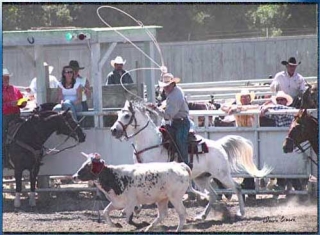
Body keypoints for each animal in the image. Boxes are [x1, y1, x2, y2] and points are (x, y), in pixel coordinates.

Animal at [110, 101, 272, 220]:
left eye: (126, 115)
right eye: (118, 114)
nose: (113, 130)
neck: (150, 143)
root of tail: (219, 145)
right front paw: (133, 209)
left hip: (222, 175)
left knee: (237, 188)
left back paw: (240, 213)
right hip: (202, 178)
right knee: (213, 195)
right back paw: (202, 215)